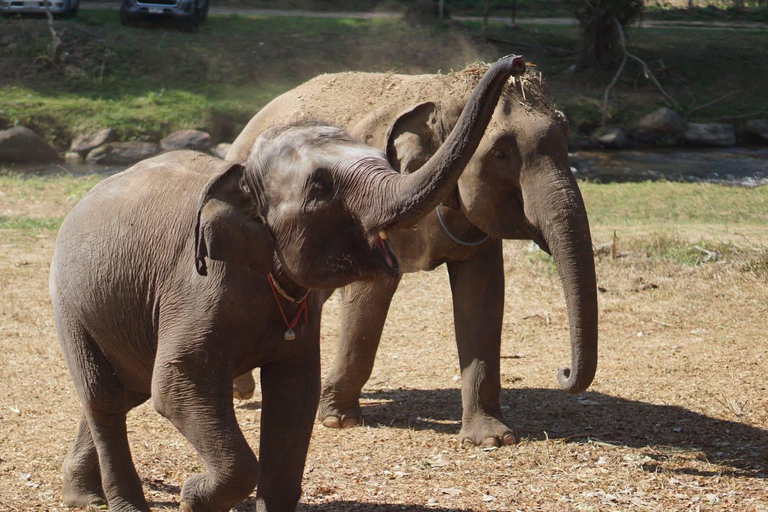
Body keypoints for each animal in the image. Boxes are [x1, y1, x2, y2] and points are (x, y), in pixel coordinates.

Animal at [49, 55, 525, 512]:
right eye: (321, 187)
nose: (517, 63)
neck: (238, 174)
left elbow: (294, 396)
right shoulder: (195, 289)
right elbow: (176, 384)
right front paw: (192, 496)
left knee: (125, 391)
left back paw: (83, 497)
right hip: (69, 303)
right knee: (105, 397)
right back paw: (120, 503)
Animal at [227, 61, 597, 449]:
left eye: (567, 140)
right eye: (500, 153)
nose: (563, 370)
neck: (442, 92)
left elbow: (482, 295)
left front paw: (492, 439)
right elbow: (371, 294)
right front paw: (338, 421)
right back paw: (242, 389)